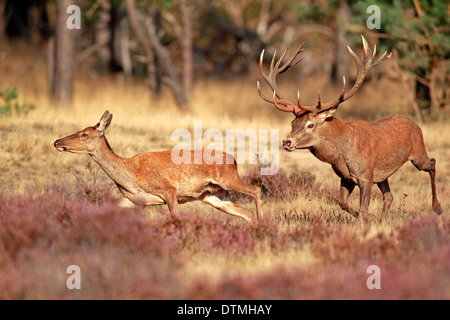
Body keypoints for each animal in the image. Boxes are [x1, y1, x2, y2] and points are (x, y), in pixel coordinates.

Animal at [256, 34, 442, 220]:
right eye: (292, 123)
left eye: (310, 124)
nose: (286, 142)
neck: (342, 154)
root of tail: (414, 123)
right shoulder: (346, 178)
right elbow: (343, 203)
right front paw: (365, 218)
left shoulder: (366, 176)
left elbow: (363, 208)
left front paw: (364, 220)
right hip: (382, 175)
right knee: (389, 196)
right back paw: (382, 220)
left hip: (418, 154)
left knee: (432, 162)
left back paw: (437, 207)